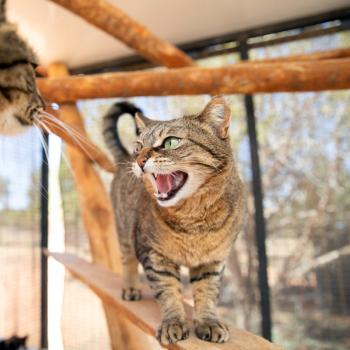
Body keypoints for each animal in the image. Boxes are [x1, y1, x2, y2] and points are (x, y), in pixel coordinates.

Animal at [102, 97, 245, 344]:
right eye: (139, 145)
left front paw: (208, 322)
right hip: (125, 233)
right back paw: (130, 289)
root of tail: (124, 157)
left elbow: (207, 293)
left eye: (170, 142)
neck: (193, 219)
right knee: (127, 262)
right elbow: (168, 292)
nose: (139, 159)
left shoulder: (214, 261)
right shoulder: (154, 255)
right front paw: (173, 323)